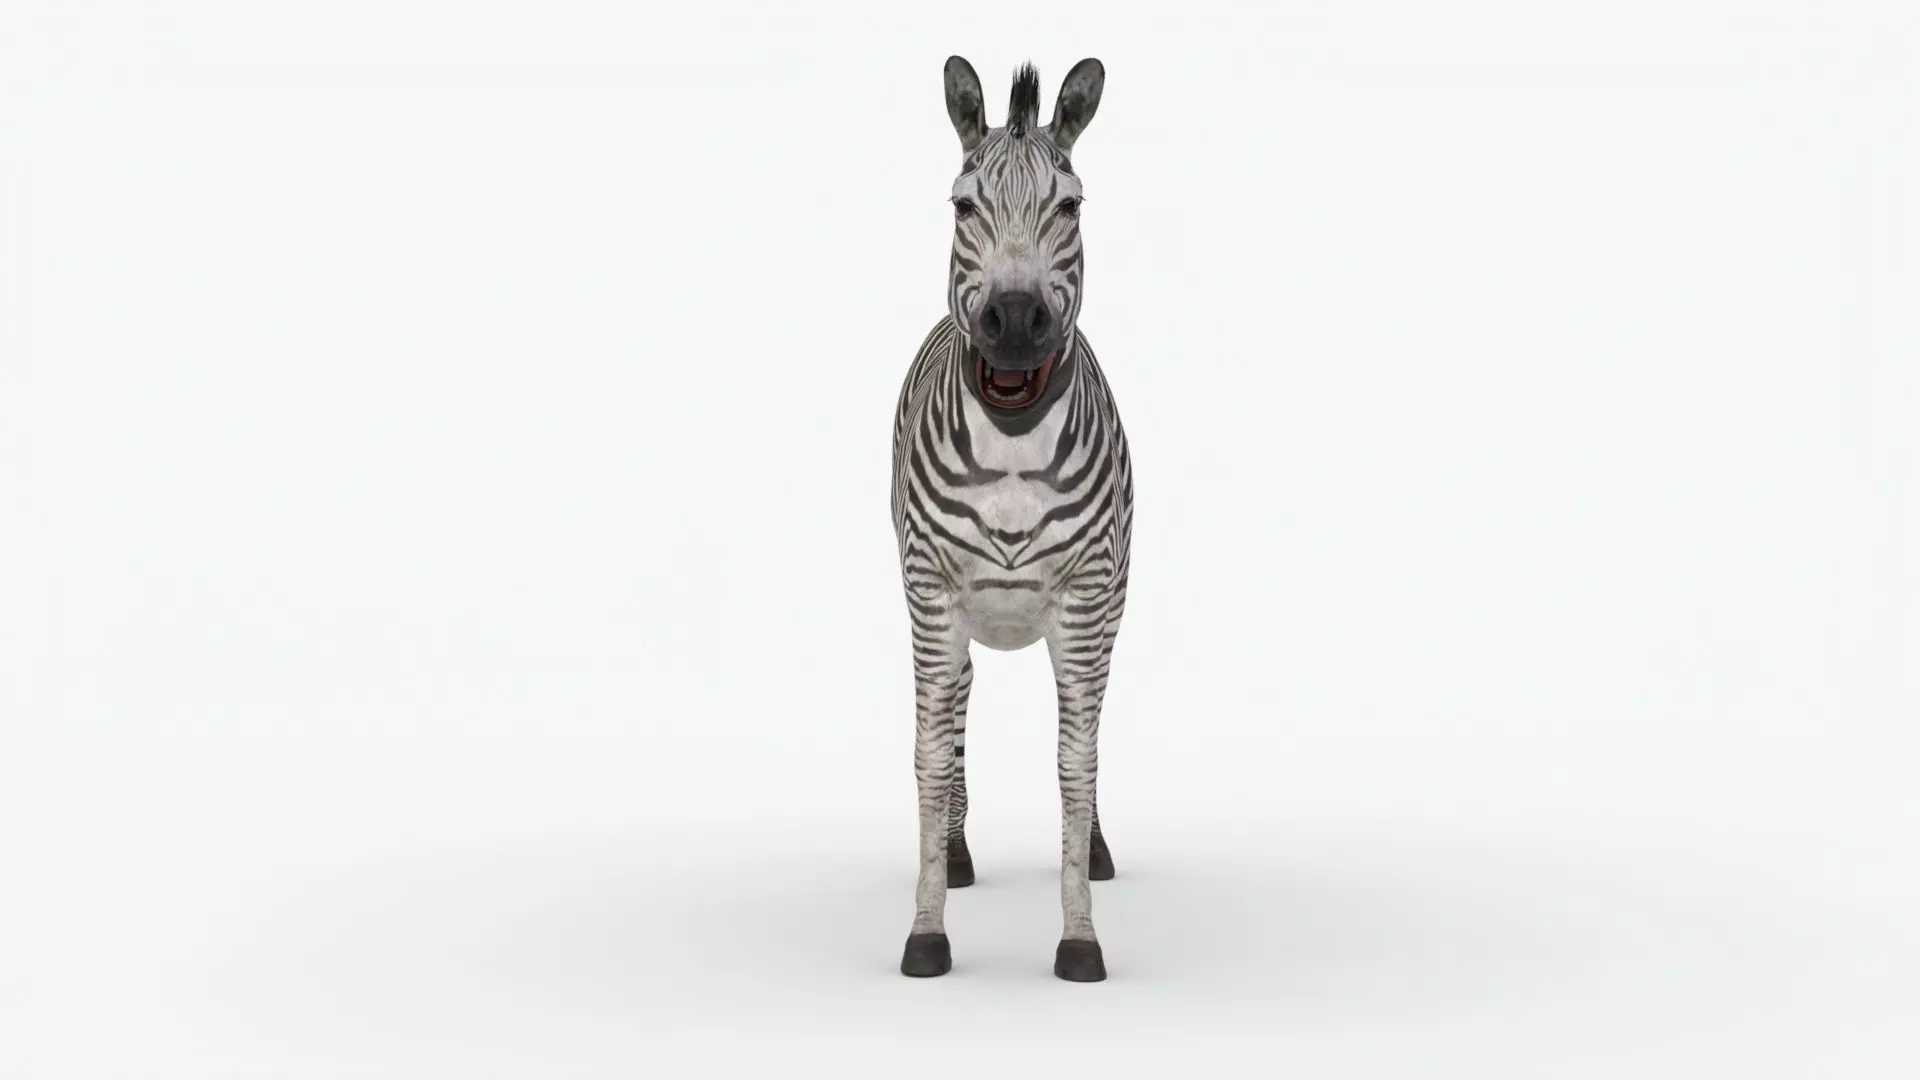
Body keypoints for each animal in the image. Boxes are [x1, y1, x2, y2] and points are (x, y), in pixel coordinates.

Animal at [889, 56, 1133, 983]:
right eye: (963, 205)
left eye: (1071, 206)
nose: (1019, 322)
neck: (1014, 451)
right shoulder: (931, 599)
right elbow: (929, 755)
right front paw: (926, 929)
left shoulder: (1087, 605)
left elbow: (1076, 759)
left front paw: (1080, 933)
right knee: (955, 708)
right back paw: (956, 858)